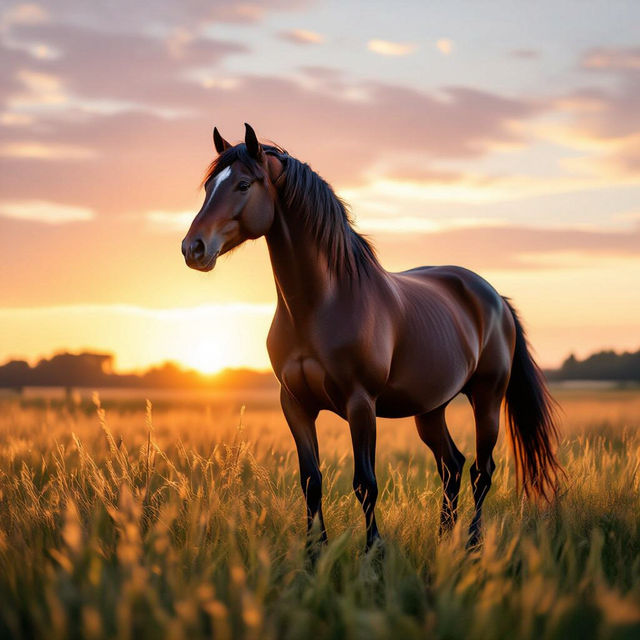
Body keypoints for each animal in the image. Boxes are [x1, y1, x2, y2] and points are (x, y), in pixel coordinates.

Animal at [181, 124, 562, 552]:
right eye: (209, 185)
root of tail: (494, 297)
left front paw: (373, 554)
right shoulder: (295, 404)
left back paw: (472, 545)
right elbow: (311, 482)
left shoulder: (360, 404)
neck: (321, 303)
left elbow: (365, 484)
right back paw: (443, 540)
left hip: (487, 398)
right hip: (430, 408)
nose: (193, 248)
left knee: (482, 470)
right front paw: (314, 555)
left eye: (244, 184)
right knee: (452, 466)